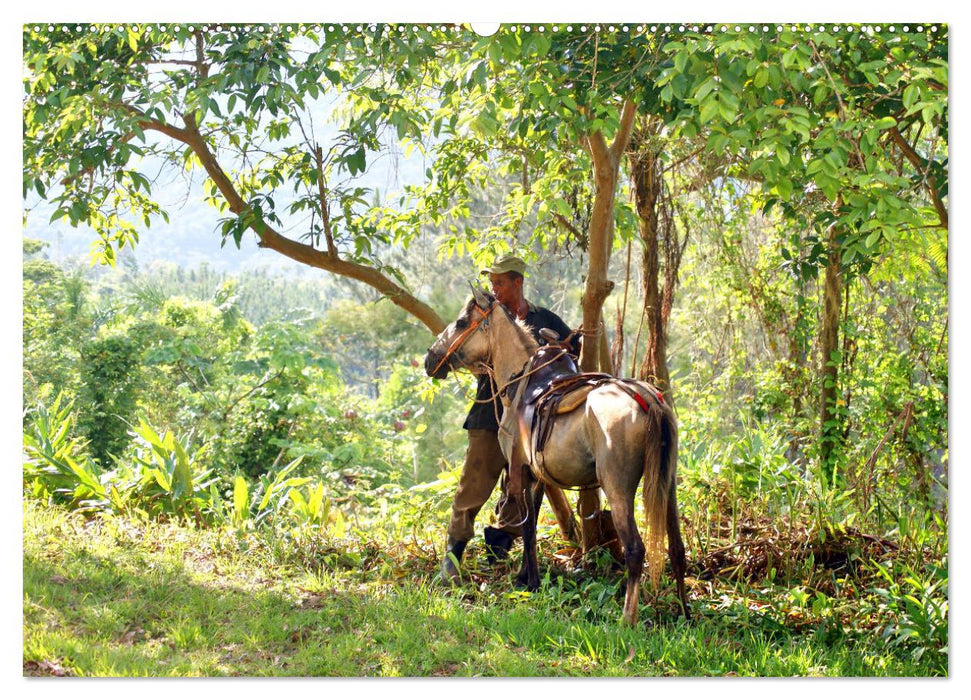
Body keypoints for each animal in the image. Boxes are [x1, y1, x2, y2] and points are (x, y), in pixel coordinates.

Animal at [426, 288, 692, 628]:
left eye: (461, 322)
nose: (431, 359)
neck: (521, 380)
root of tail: (649, 399)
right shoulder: (538, 476)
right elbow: (531, 524)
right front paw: (525, 576)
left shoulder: (520, 471)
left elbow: (527, 528)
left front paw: (530, 582)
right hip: (667, 485)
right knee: (677, 549)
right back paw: (685, 613)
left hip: (618, 488)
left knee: (635, 549)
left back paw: (627, 619)